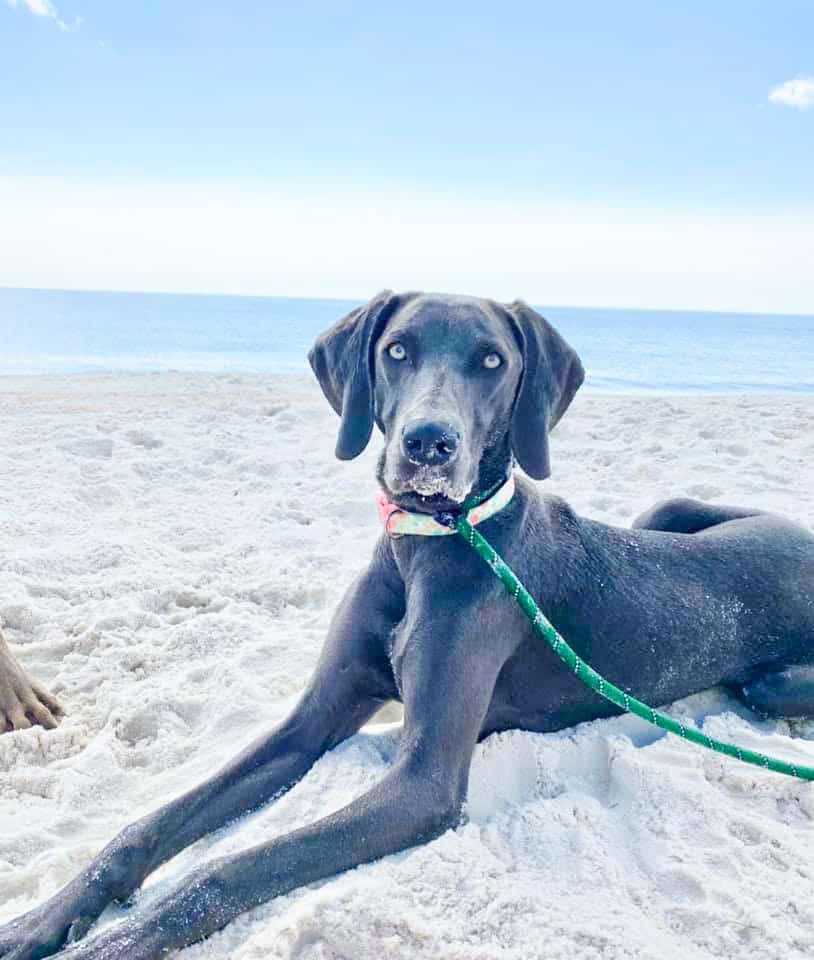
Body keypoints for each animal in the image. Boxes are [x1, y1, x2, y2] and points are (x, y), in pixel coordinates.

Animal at [1, 294, 814, 960]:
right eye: (397, 350)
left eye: (492, 361)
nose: (429, 443)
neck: (429, 542)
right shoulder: (309, 721)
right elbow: (146, 826)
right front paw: (40, 920)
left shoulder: (421, 784)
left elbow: (229, 868)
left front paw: (111, 944)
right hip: (666, 510)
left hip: (770, 682)